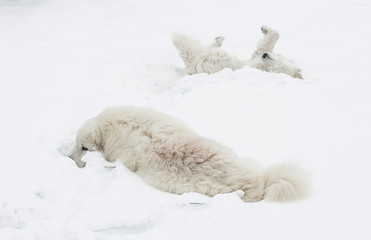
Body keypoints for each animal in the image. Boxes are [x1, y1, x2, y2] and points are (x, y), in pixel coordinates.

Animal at [173, 25, 304, 79]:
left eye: (275, 67)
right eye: (278, 60)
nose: (265, 56)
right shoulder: (258, 57)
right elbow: (267, 43)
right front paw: (265, 28)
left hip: (219, 60)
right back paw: (219, 39)